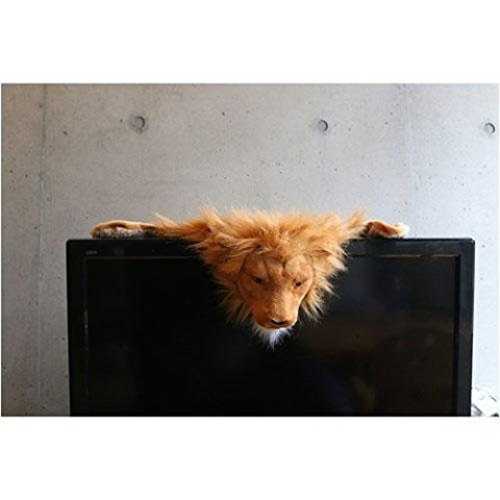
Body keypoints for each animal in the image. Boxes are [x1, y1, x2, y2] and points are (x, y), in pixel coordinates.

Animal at [91, 210, 408, 346]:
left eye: (299, 283)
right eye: (258, 280)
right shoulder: (203, 234)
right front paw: (112, 229)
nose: (280, 321)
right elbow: (156, 227)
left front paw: (390, 228)